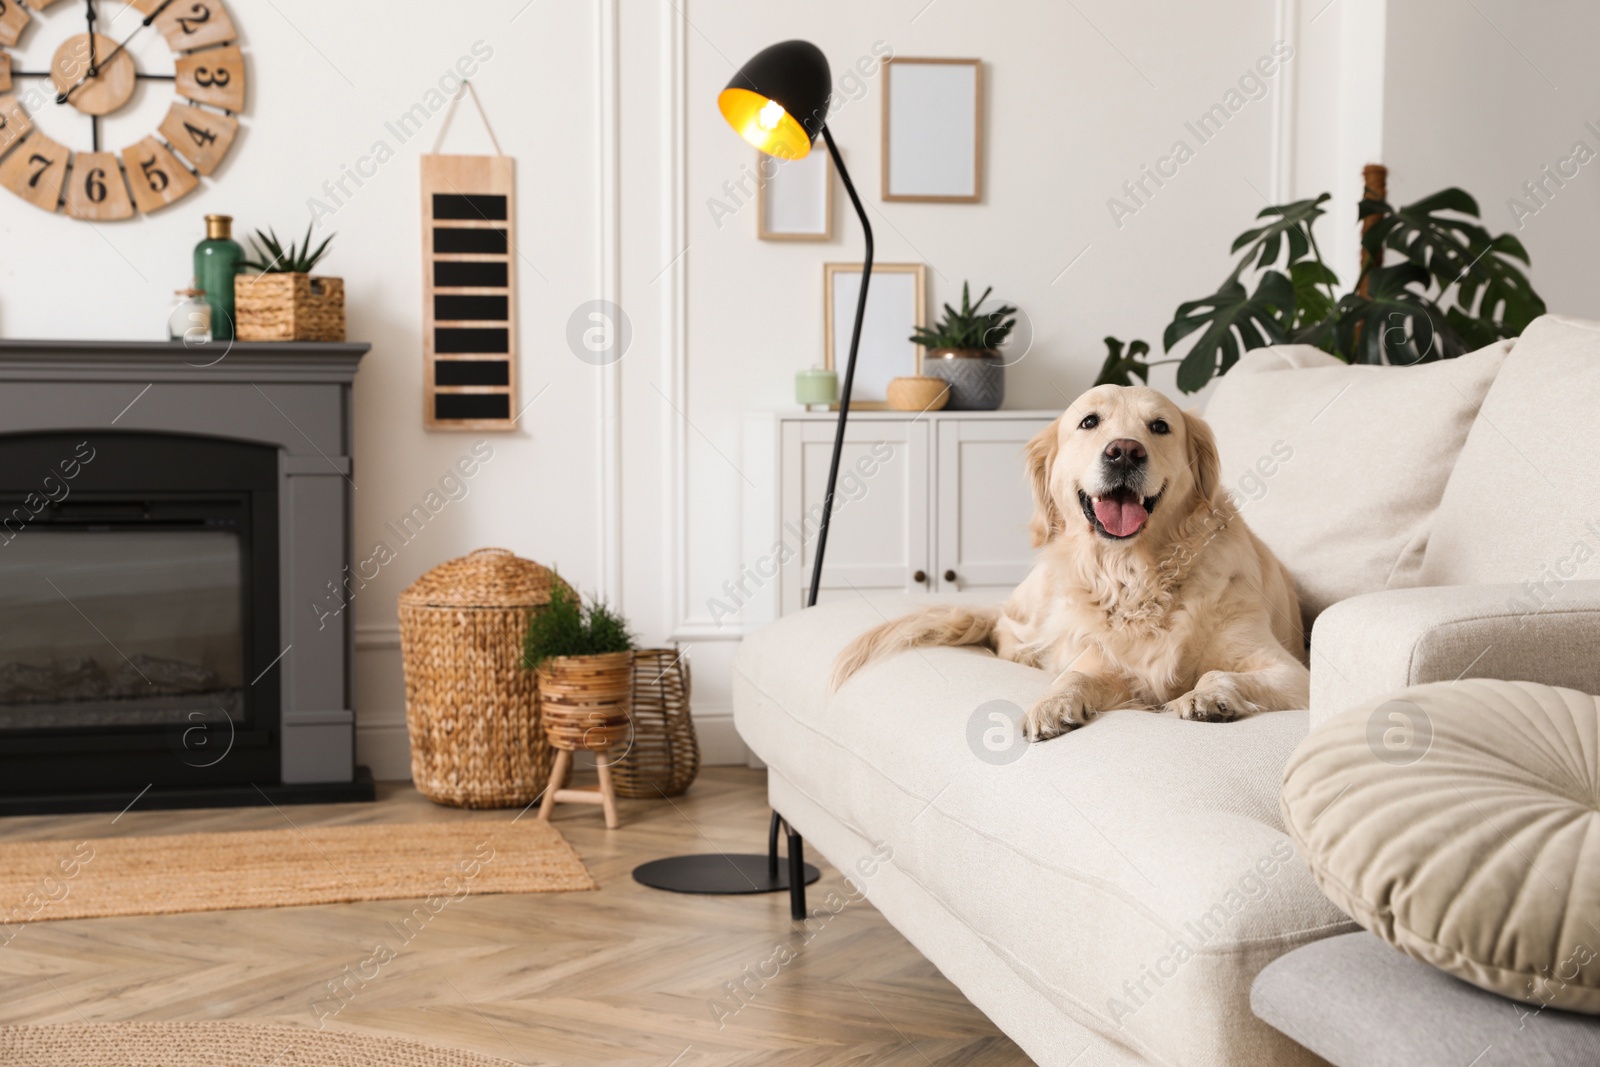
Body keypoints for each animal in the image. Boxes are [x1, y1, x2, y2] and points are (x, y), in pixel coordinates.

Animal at [832, 383, 1305, 742]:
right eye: (1089, 422)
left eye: (1159, 427)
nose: (1125, 451)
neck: (1134, 574)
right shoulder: (1103, 659)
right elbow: (1074, 676)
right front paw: (1051, 705)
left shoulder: (1291, 673)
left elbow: (1223, 674)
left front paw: (1205, 696)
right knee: (1005, 633)